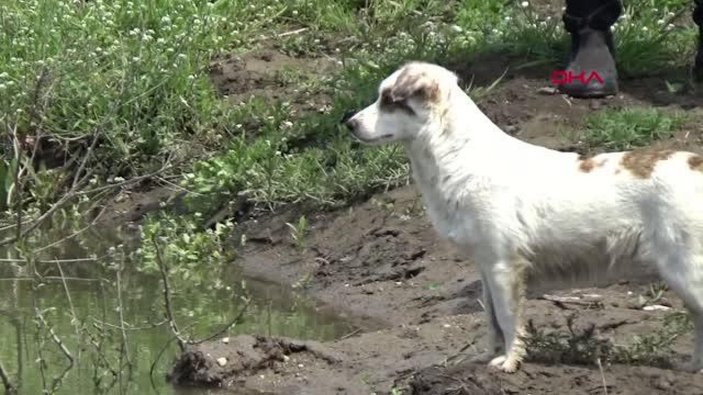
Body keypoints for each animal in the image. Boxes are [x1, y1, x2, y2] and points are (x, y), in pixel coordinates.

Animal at [344, 61, 703, 374]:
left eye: (389, 100)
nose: (349, 124)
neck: (460, 156)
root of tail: (697, 165)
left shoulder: (503, 266)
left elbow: (506, 318)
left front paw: (509, 362)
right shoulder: (486, 267)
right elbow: (491, 320)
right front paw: (490, 355)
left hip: (686, 271)